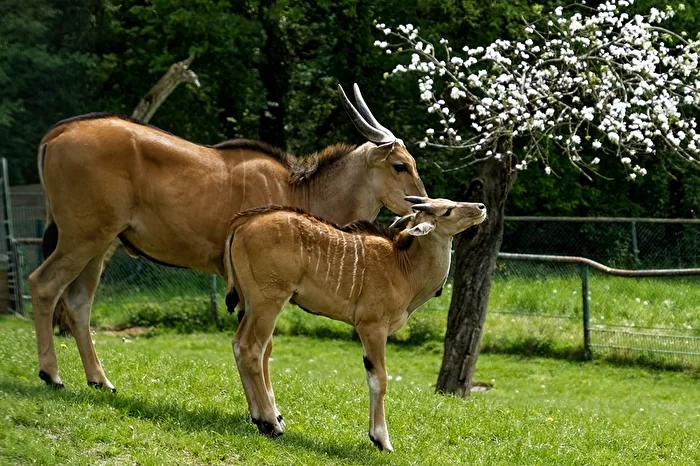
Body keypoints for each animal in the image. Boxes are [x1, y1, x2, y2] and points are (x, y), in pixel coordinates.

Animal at [30, 84, 427, 392]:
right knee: (44, 284)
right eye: (399, 165)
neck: (298, 189)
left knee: (78, 303)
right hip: (80, 238)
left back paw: (99, 380)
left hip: (99, 243)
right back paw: (51, 374)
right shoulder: (259, 289)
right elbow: (262, 346)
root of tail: (56, 135)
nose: (421, 204)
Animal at [224, 197, 487, 451]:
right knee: (252, 349)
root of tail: (242, 223)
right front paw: (381, 439)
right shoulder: (372, 327)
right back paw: (271, 423)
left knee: (240, 344)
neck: (402, 265)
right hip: (268, 301)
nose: (481, 206)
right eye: (447, 211)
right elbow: (379, 378)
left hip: (251, 304)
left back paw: (260, 417)